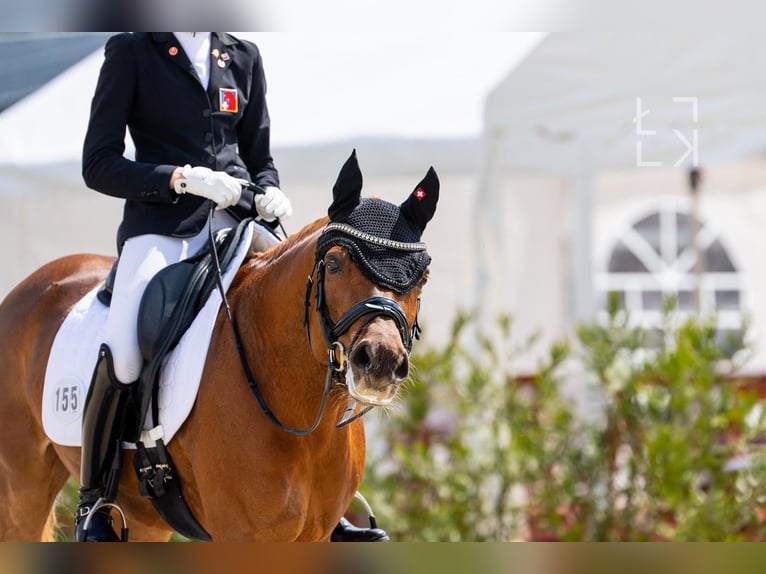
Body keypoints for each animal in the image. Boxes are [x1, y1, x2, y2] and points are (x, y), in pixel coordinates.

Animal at [0, 151, 438, 544]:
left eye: (423, 277)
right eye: (333, 264)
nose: (380, 361)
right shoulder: (241, 534)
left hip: (143, 520)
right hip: (22, 489)